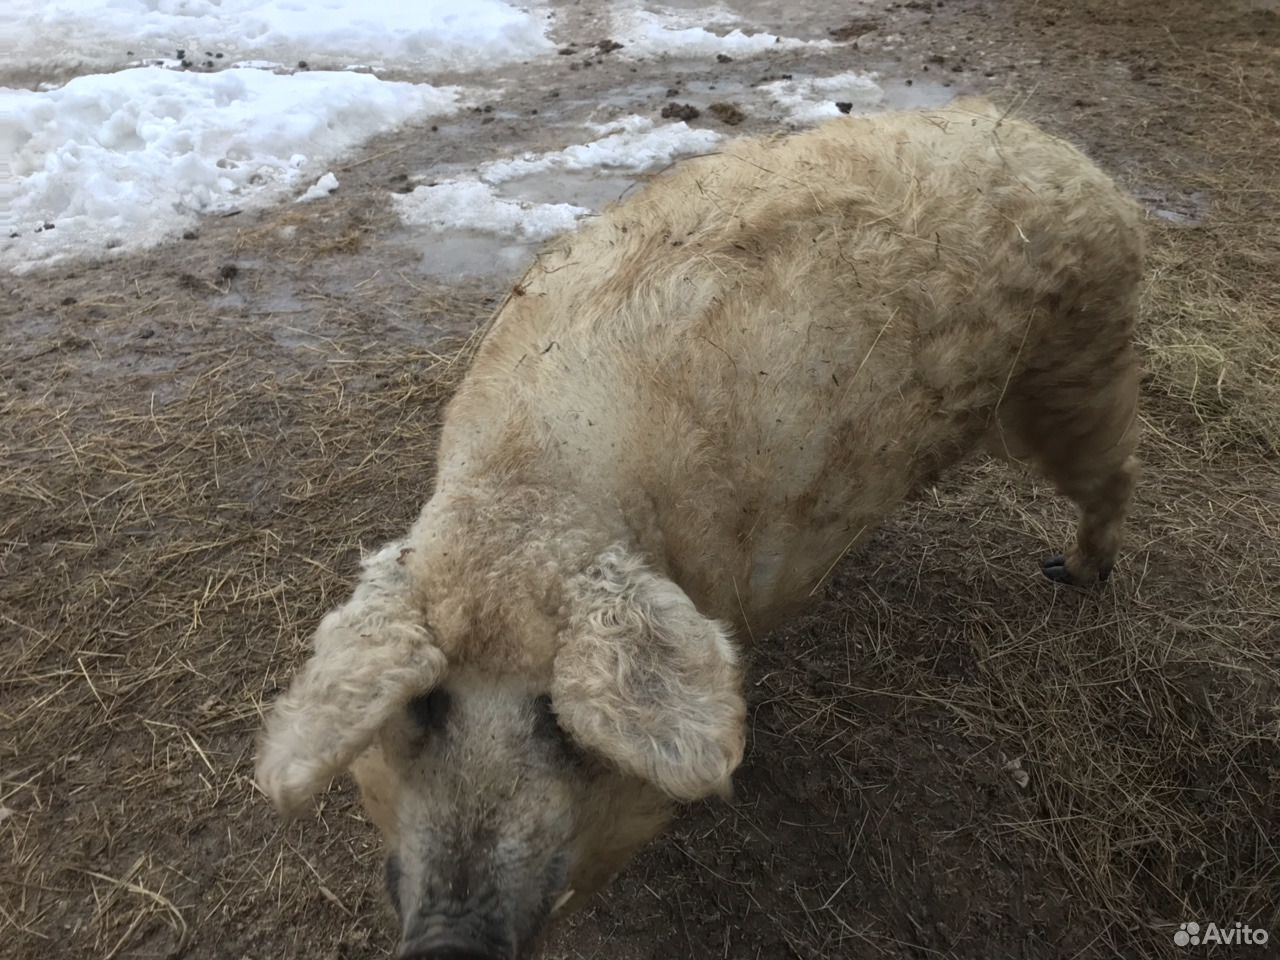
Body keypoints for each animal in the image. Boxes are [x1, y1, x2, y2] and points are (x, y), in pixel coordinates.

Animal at [254, 99, 1146, 960]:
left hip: (1081, 364)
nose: (450, 943)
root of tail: (1075, 160)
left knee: (1114, 476)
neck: (529, 496)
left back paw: (1071, 573)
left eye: (558, 718)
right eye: (424, 707)